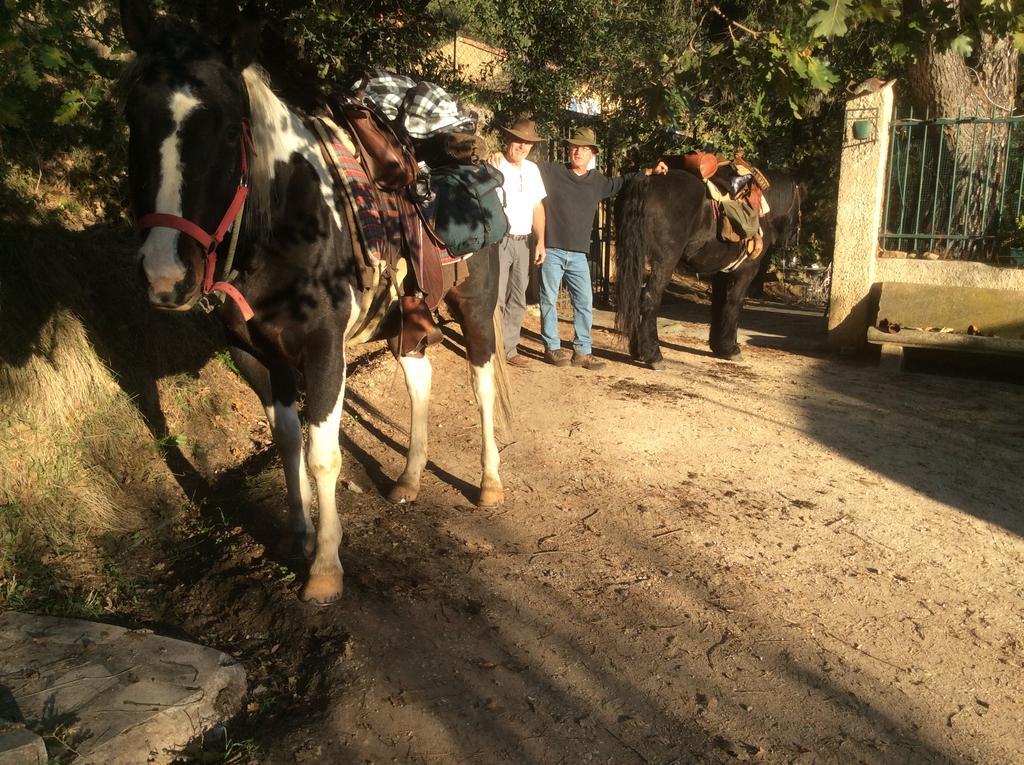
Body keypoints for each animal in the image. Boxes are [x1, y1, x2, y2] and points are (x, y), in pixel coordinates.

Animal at [121, 2, 505, 606]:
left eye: (228, 130)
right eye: (133, 119)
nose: (166, 274)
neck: (287, 223)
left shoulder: (325, 349)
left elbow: (324, 453)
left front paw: (325, 567)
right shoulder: (255, 355)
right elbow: (288, 442)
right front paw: (296, 536)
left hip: (476, 308)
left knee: (481, 383)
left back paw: (489, 483)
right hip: (404, 320)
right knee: (419, 380)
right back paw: (408, 479)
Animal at [614, 171, 798, 368]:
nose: (792, 241)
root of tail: (647, 180)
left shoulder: (720, 274)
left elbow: (719, 305)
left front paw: (719, 347)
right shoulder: (745, 272)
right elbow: (735, 303)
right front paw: (731, 349)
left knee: (634, 297)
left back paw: (638, 351)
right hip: (665, 262)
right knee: (649, 298)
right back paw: (653, 355)